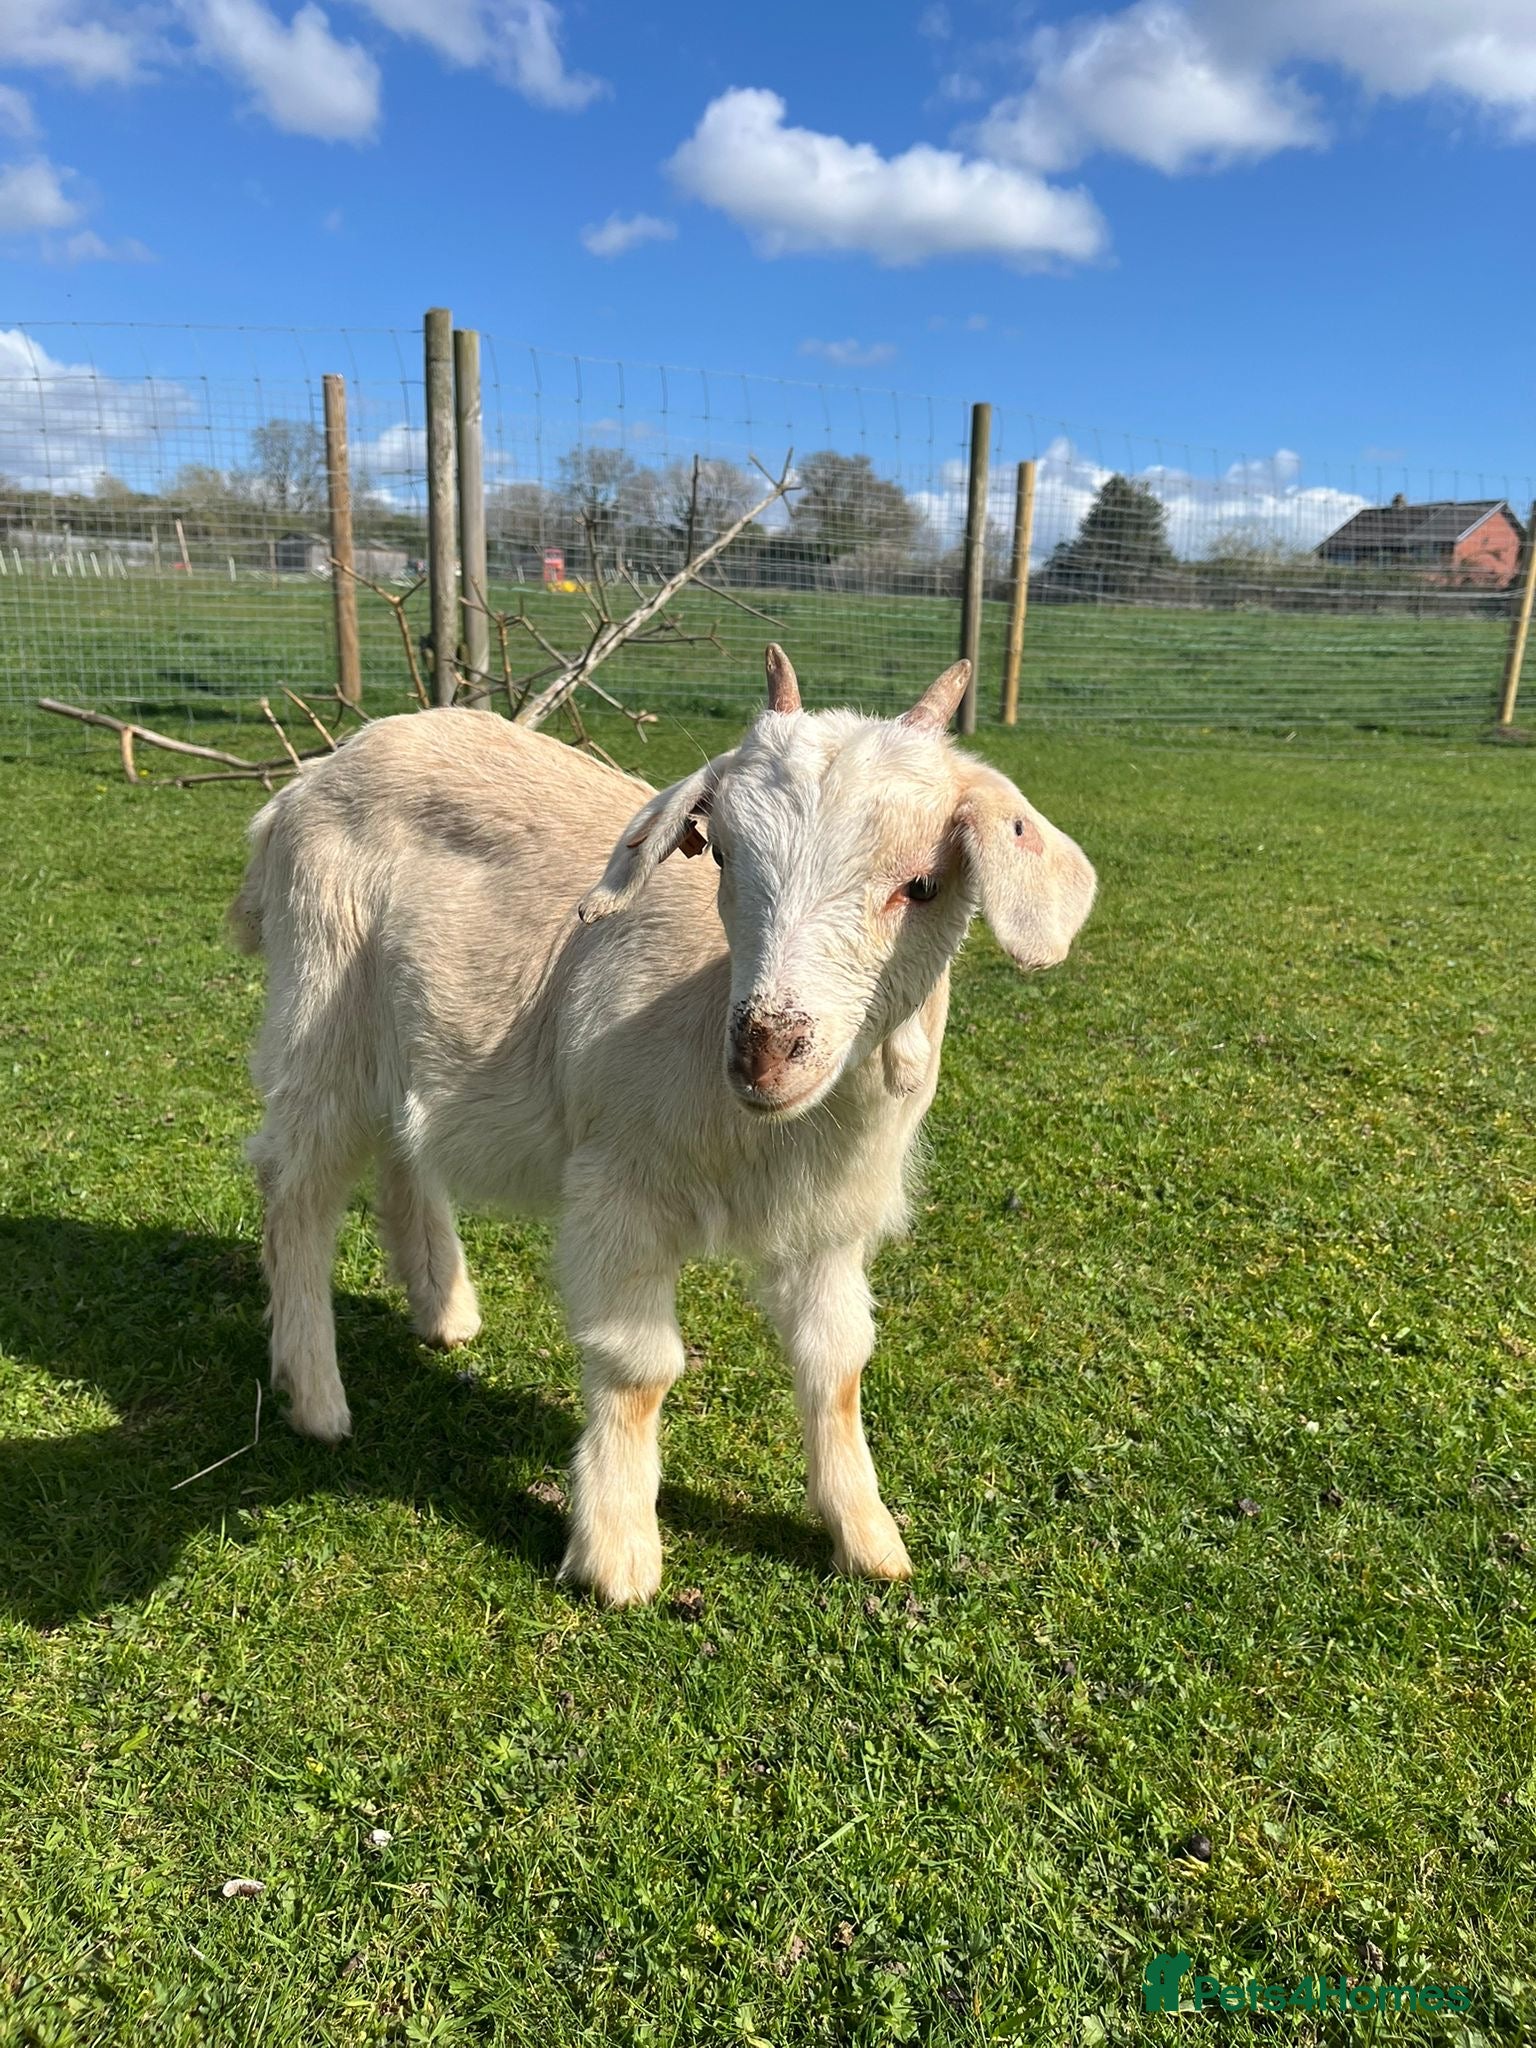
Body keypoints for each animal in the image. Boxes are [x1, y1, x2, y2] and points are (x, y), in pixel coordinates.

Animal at [232, 648, 1096, 1604]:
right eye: (720, 853)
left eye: (923, 885)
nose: (764, 1053)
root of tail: (305, 784)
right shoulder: (621, 1183)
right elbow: (640, 1368)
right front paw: (616, 1555)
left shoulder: (830, 1220)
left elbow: (838, 1365)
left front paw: (868, 1537)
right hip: (322, 1002)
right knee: (297, 1186)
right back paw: (315, 1395)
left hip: (409, 1027)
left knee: (403, 1141)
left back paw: (444, 1308)